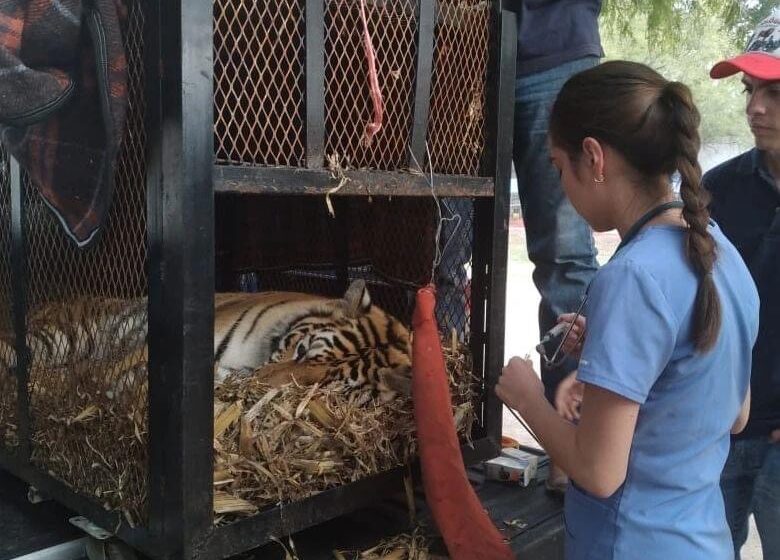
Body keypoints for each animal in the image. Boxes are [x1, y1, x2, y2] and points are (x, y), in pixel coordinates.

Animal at [0, 280, 414, 402]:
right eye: (300, 351)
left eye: (326, 385)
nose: (257, 385)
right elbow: (109, 370)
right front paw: (98, 388)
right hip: (61, 337)